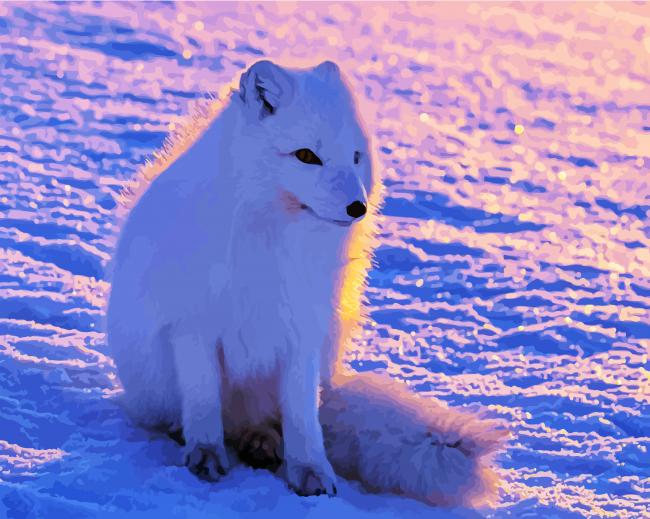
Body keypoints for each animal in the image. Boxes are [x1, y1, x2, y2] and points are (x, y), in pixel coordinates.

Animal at [106, 61, 504, 508]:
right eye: (307, 156)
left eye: (355, 157)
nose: (358, 208)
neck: (271, 238)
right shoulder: (192, 329)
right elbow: (203, 401)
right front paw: (205, 454)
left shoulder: (302, 333)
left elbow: (301, 419)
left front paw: (312, 472)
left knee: (276, 420)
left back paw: (262, 443)